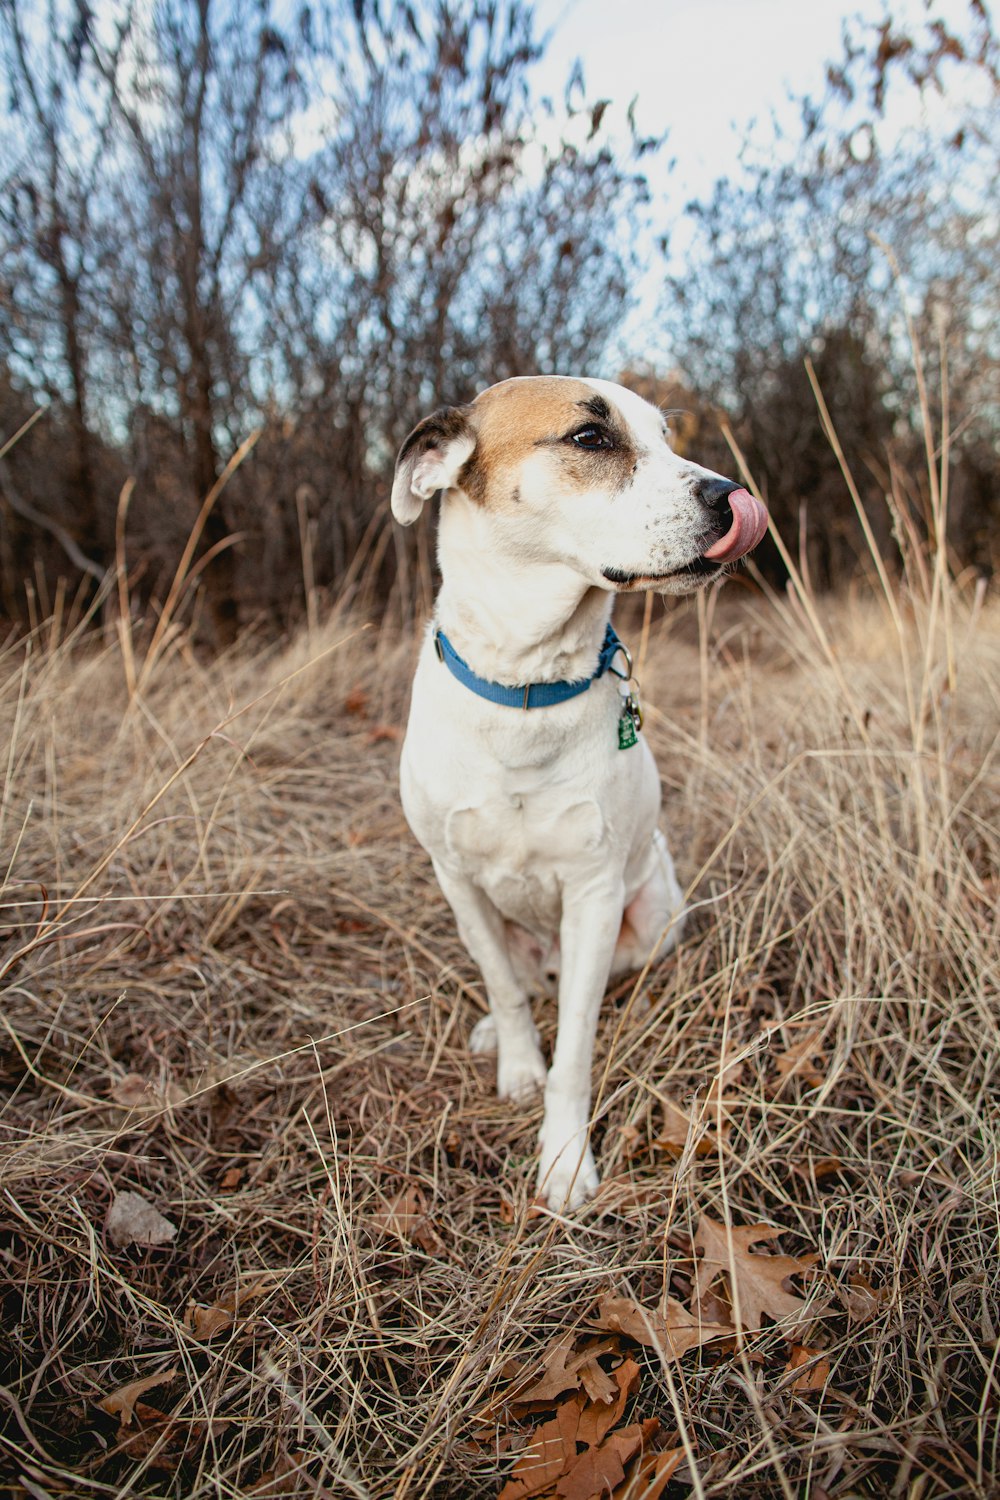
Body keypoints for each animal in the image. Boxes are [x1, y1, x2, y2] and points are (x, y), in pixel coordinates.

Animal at [389, 375, 767, 1206]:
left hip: (651, 911)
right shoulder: (457, 880)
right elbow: (504, 988)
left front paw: (563, 1159)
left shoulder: (593, 894)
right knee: (528, 977)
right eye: (590, 438)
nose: (735, 497)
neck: (527, 684)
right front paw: (518, 1063)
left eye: (665, 436)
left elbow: (576, 1052)